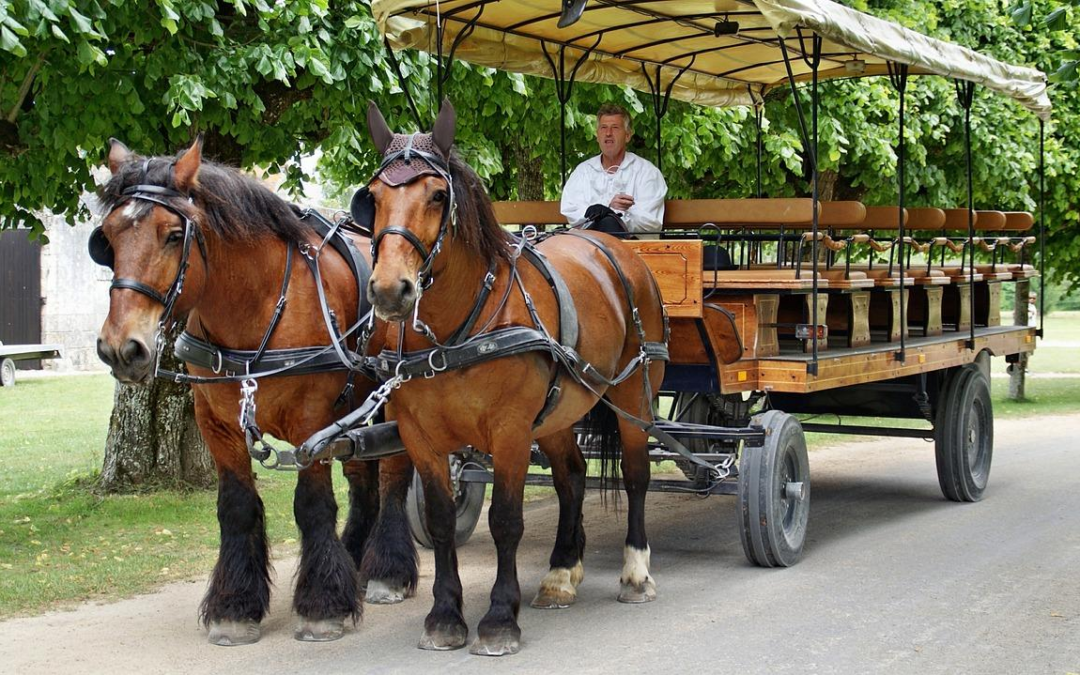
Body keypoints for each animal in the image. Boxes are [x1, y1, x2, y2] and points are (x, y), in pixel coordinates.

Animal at [91, 139, 416, 643]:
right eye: (107, 238)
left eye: (172, 235)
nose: (121, 348)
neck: (258, 305)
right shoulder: (217, 424)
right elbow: (237, 508)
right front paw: (235, 606)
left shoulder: (311, 422)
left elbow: (312, 505)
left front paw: (323, 604)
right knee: (363, 481)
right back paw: (355, 558)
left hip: (394, 398)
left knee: (393, 475)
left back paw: (387, 571)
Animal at [358, 102, 665, 656]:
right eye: (372, 197)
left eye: (437, 195)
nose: (391, 290)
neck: (456, 332)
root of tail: (609, 243)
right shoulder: (420, 437)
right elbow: (440, 522)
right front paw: (444, 616)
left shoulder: (510, 432)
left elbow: (505, 520)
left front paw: (500, 617)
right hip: (562, 409)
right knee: (571, 478)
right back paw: (562, 571)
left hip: (634, 396)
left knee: (635, 475)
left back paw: (635, 572)